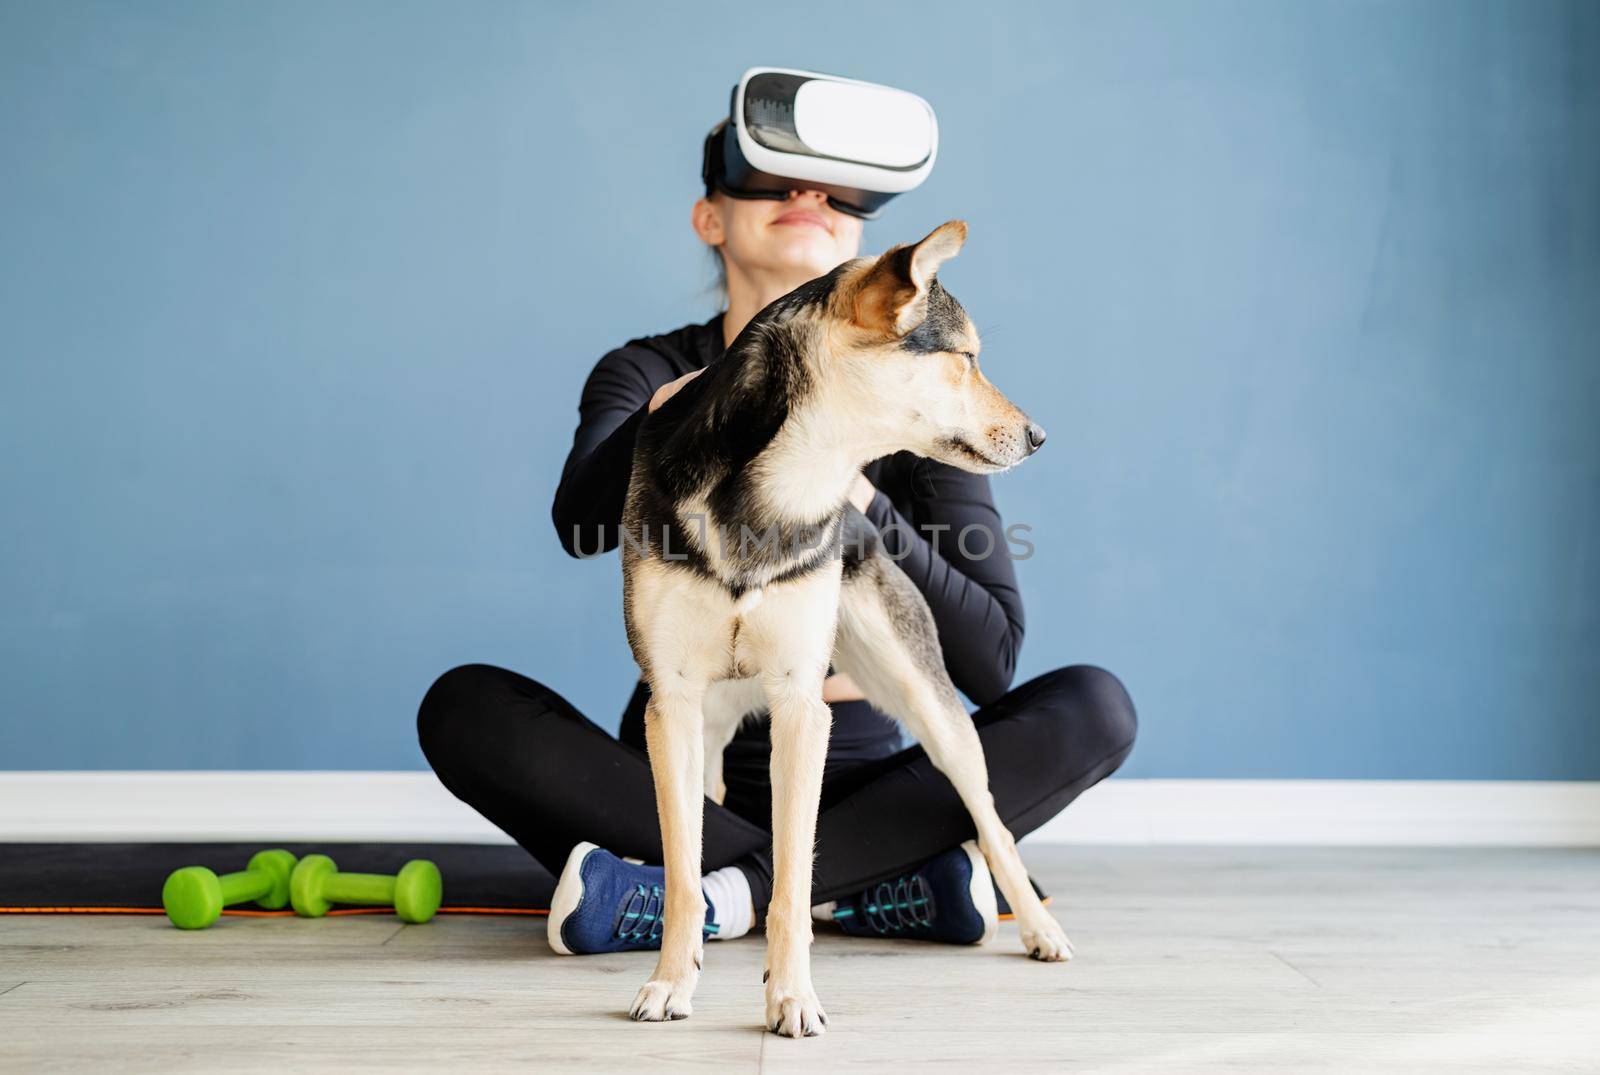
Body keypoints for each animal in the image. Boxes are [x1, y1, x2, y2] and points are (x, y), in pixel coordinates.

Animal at [617, 217, 1068, 1030]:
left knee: (991, 822)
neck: (784, 496)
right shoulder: (671, 703)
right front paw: (670, 982)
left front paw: (792, 996)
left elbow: (794, 878)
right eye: (967, 358)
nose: (1040, 435)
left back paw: (1038, 928)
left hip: (933, 707)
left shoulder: (802, 707)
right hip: (706, 728)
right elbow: (684, 867)